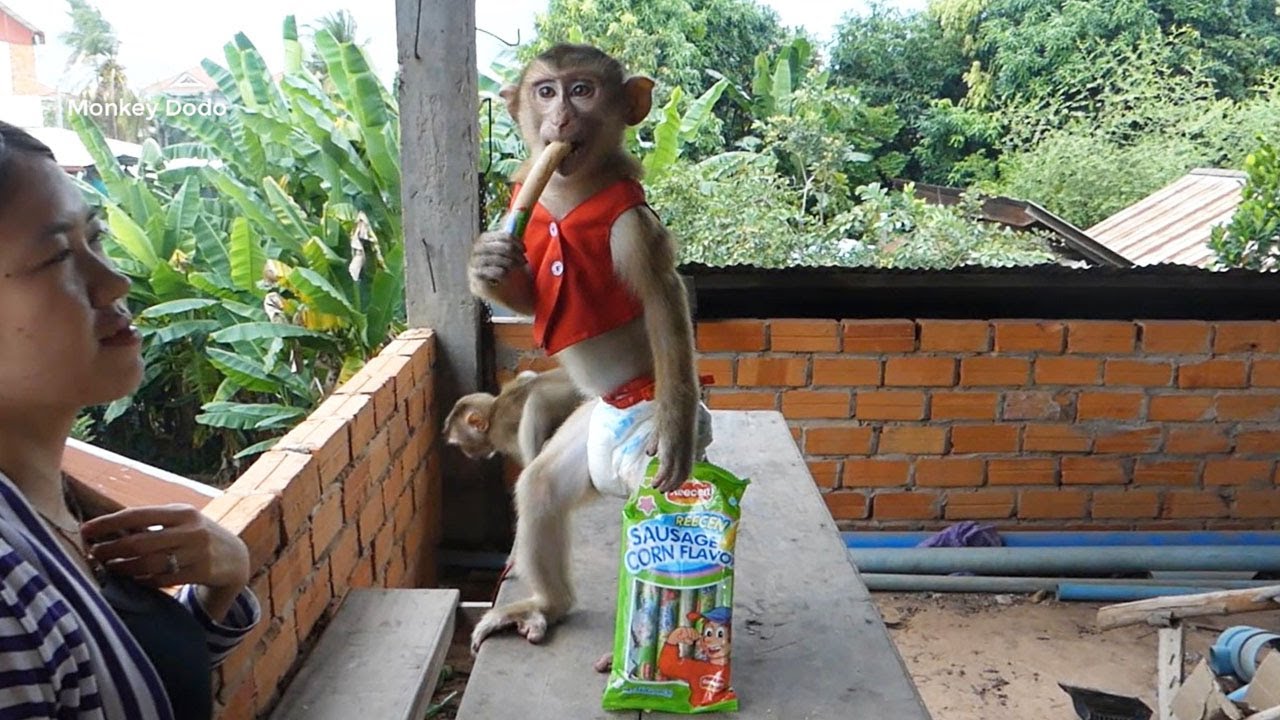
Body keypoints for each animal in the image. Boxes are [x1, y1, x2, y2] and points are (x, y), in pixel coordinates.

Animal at [443, 367, 587, 467]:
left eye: (459, 444)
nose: (465, 452)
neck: (493, 411)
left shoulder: (500, 435)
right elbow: (527, 374)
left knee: (536, 399)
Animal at [467, 44, 713, 653]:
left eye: (582, 90)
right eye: (546, 91)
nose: (559, 119)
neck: (568, 194)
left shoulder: (633, 232)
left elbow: (665, 303)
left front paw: (676, 434)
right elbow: (526, 293)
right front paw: (489, 266)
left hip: (645, 444)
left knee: (653, 507)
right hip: (589, 431)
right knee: (539, 488)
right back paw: (547, 607)